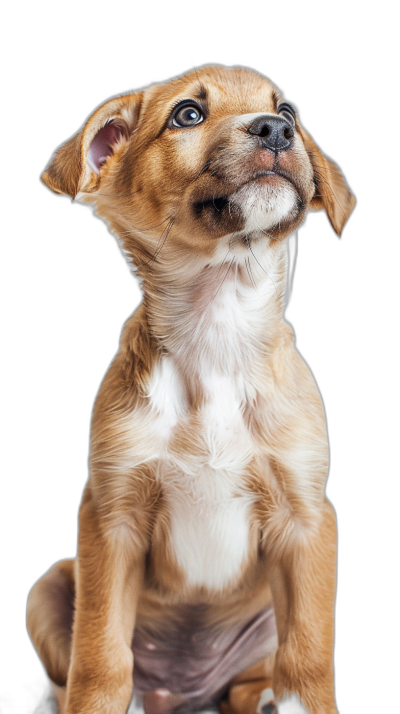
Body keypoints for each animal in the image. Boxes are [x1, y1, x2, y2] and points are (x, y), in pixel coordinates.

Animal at [26, 62, 354, 712]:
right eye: (188, 115)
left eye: (289, 110)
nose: (277, 129)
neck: (216, 333)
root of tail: (176, 696)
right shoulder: (111, 518)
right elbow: (100, 656)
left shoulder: (307, 521)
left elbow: (307, 658)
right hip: (50, 584)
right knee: (75, 672)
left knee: (257, 677)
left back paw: (263, 698)